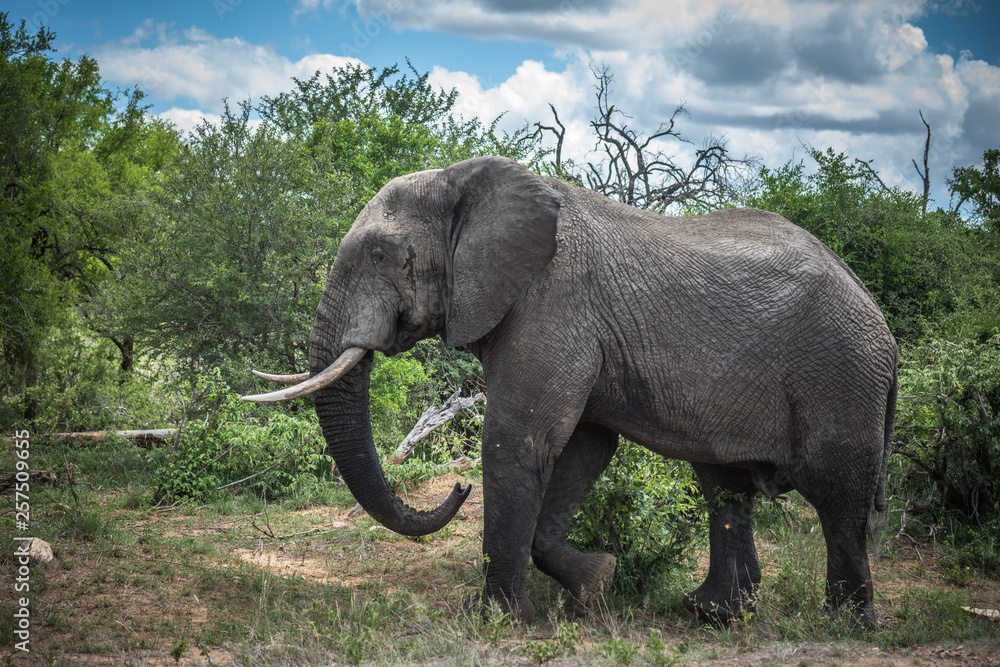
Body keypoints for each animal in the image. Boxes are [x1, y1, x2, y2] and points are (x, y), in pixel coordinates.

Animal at [246, 155, 897, 629]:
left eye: (381, 254)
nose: (455, 489)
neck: (466, 181)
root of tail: (883, 326)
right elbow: (585, 446)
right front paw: (596, 584)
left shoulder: (553, 304)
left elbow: (519, 439)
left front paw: (494, 620)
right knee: (725, 486)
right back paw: (713, 614)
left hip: (841, 376)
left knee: (837, 496)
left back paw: (844, 624)